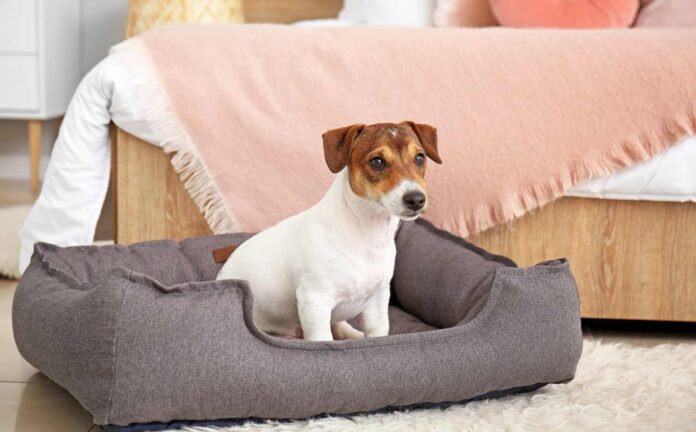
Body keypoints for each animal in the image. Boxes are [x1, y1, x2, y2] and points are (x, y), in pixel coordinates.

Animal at [216, 120, 440, 340]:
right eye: (377, 162)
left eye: (420, 158)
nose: (416, 199)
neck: (365, 232)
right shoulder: (314, 301)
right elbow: (323, 340)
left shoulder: (377, 301)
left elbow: (377, 334)